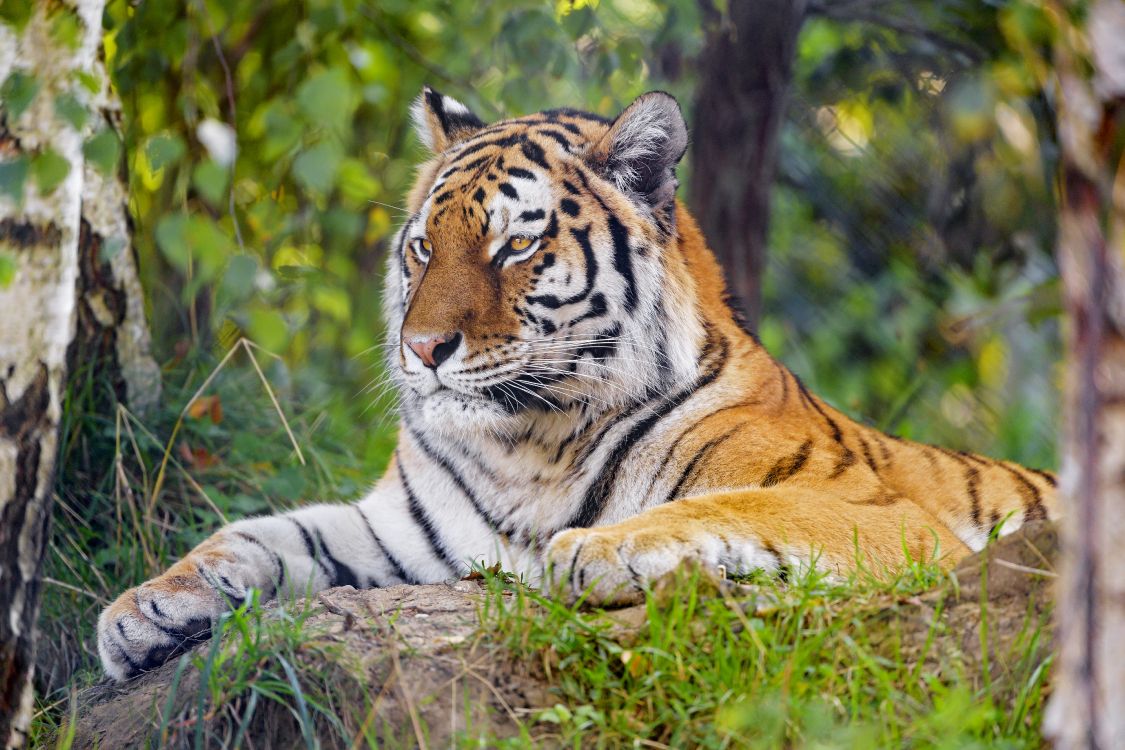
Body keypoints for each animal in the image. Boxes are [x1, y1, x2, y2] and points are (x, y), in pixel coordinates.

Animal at [97, 88, 1060, 681]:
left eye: (514, 245)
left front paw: (593, 550)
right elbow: (256, 533)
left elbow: (740, 503)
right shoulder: (401, 533)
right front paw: (140, 609)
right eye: (423, 248)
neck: (527, 443)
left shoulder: (882, 513)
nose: (421, 348)